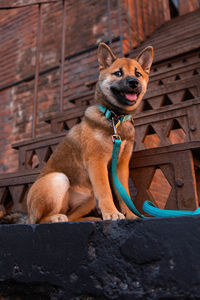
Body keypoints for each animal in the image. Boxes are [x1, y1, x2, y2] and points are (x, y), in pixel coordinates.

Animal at [0, 43, 153, 224]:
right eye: (118, 73)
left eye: (138, 74)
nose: (134, 82)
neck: (115, 118)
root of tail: (27, 215)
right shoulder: (96, 163)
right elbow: (106, 191)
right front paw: (111, 213)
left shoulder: (120, 166)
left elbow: (124, 194)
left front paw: (130, 214)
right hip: (58, 179)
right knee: (41, 220)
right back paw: (56, 218)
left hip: (89, 197)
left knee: (70, 216)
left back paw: (87, 218)